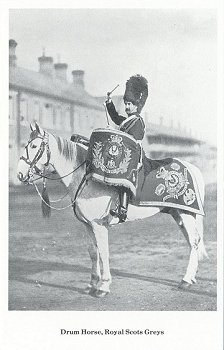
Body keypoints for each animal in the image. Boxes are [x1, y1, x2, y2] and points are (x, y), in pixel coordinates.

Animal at [16, 123, 207, 298]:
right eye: (26, 145)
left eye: (34, 146)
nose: (19, 174)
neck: (85, 178)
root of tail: (194, 169)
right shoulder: (87, 225)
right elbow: (93, 252)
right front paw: (92, 284)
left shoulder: (99, 225)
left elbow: (104, 253)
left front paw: (103, 286)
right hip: (178, 214)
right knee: (192, 242)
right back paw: (192, 277)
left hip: (186, 214)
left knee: (194, 241)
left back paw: (185, 280)